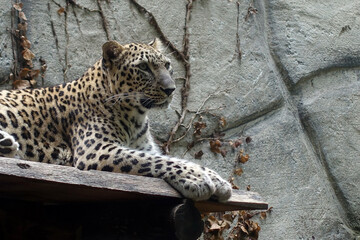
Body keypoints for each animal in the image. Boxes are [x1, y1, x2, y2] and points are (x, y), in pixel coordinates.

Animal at [0, 39, 231, 202]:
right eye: (144, 67)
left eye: (167, 65)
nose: (171, 89)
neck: (136, 116)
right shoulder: (95, 149)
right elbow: (153, 161)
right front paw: (197, 178)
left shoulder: (143, 147)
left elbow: (166, 158)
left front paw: (217, 179)